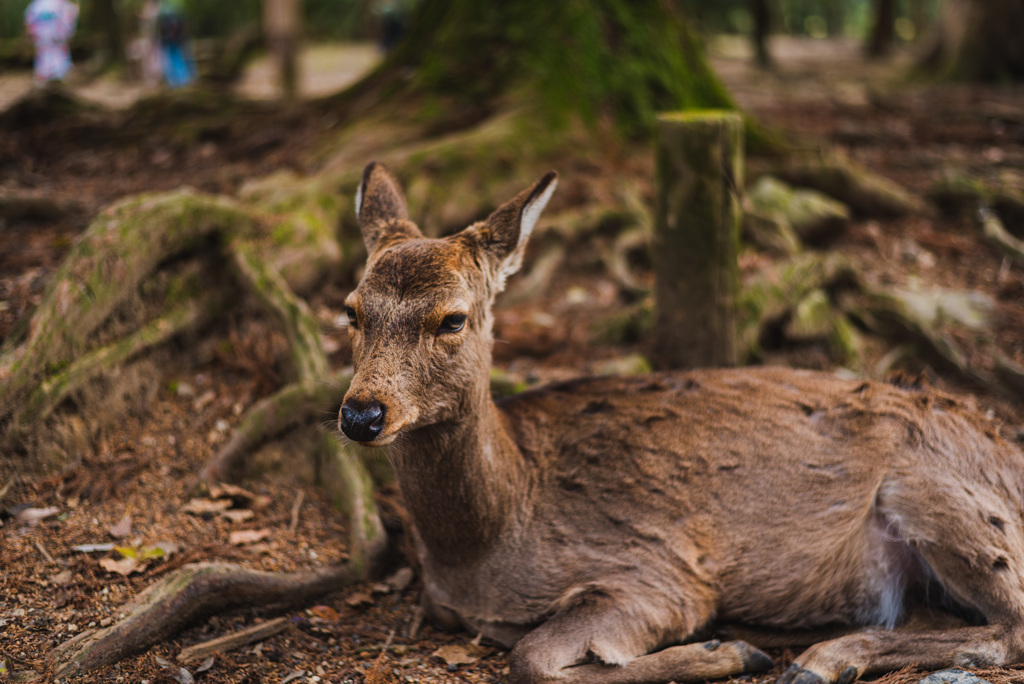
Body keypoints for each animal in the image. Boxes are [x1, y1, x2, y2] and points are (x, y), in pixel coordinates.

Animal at [339, 161, 1024, 684]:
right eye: (351, 311)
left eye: (453, 318)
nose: (362, 413)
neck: (483, 544)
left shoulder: (659, 572)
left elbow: (531, 658)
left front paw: (728, 651)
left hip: (940, 494)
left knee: (1009, 626)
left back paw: (817, 659)